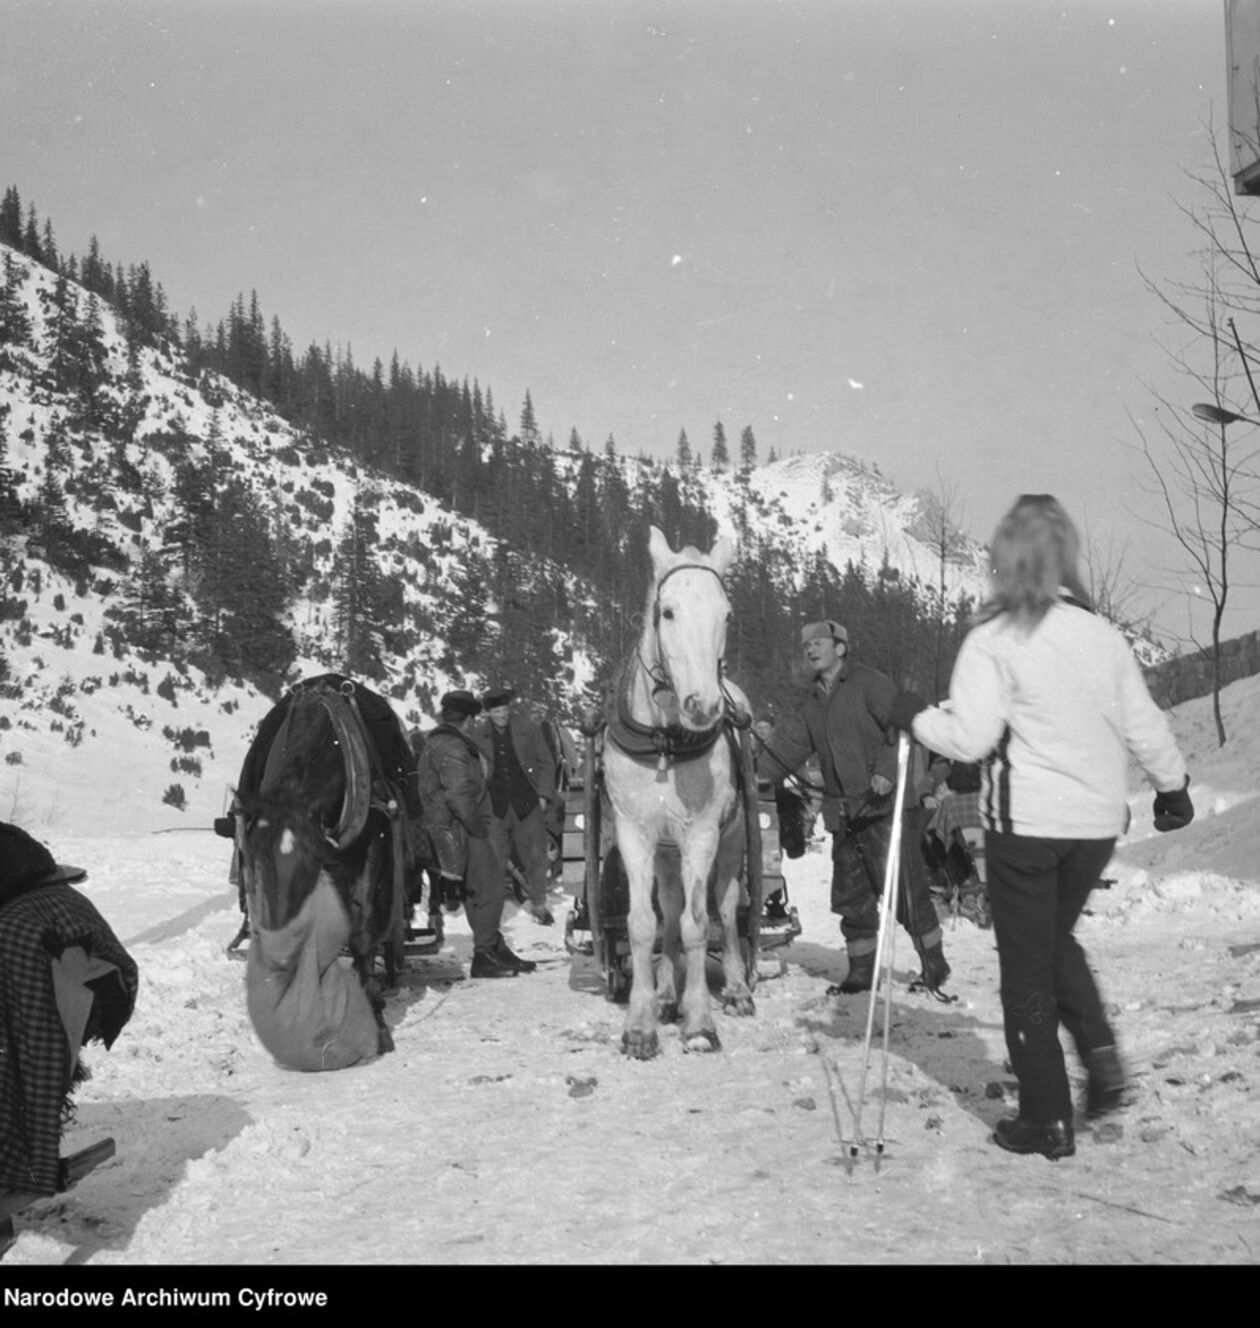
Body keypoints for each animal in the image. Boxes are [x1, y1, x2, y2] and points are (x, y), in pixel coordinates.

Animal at [602, 525, 754, 1057]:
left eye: (726, 614)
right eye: (667, 611)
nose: (703, 706)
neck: (664, 741)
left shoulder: (702, 834)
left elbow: (697, 924)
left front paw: (700, 1021)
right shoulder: (635, 833)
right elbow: (644, 923)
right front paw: (642, 1022)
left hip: (731, 841)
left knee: (725, 908)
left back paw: (736, 987)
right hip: (666, 853)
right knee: (667, 910)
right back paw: (668, 993)